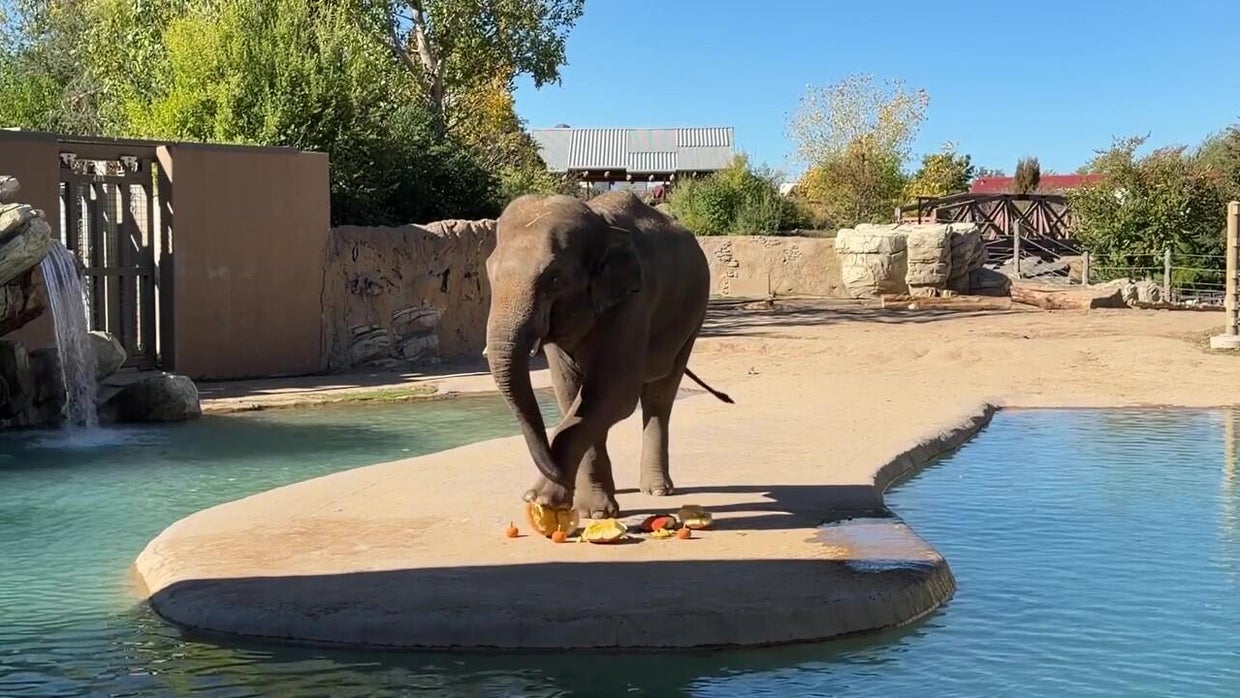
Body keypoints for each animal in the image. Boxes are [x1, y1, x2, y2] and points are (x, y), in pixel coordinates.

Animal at [483, 189, 733, 518]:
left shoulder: (631, 304)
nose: (554, 470)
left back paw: (657, 490)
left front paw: (547, 499)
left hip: (694, 315)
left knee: (660, 394)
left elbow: (613, 393)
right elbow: (571, 394)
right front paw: (591, 510)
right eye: (489, 272)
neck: (600, 224)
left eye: (555, 279)